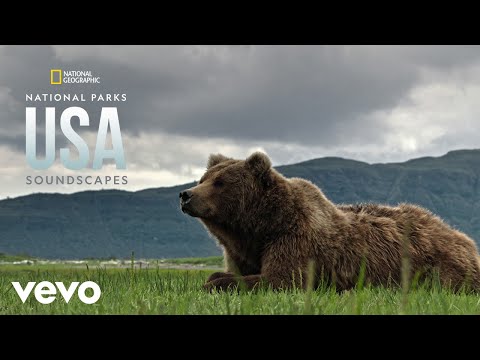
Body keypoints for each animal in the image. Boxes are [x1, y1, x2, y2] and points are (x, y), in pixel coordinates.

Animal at [179, 150, 480, 292]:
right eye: (203, 178)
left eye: (220, 182)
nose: (186, 194)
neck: (259, 227)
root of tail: (464, 237)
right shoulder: (241, 249)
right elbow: (236, 270)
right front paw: (216, 277)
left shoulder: (295, 238)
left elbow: (282, 279)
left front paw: (213, 284)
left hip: (437, 266)